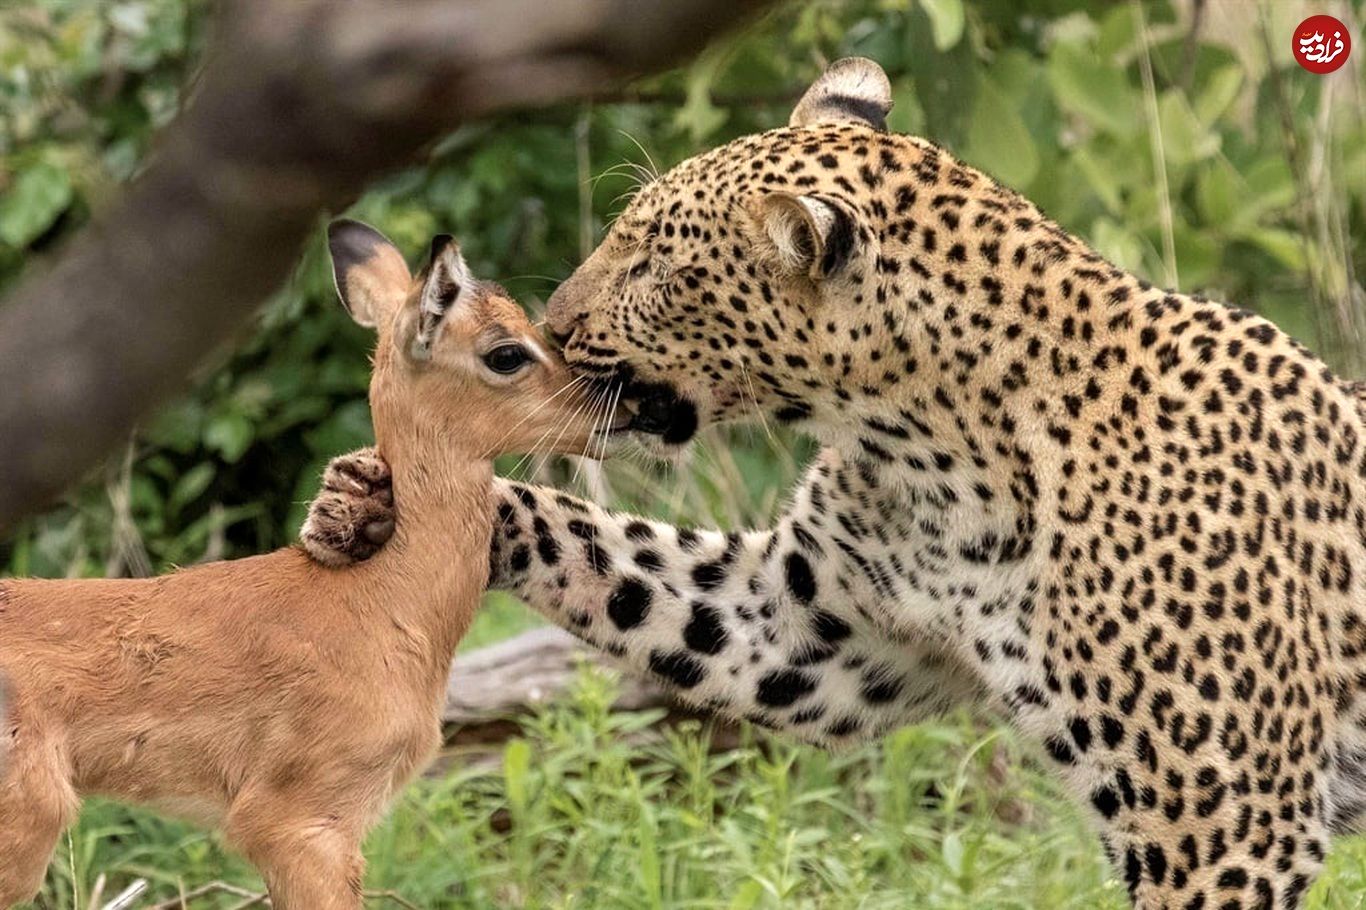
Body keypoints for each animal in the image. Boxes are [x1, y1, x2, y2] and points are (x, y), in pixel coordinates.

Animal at [304, 58, 1366, 907]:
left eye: (653, 266)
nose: (557, 329)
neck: (935, 457)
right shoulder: (806, 625)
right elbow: (617, 562)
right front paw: (366, 501)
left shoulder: (1224, 825)